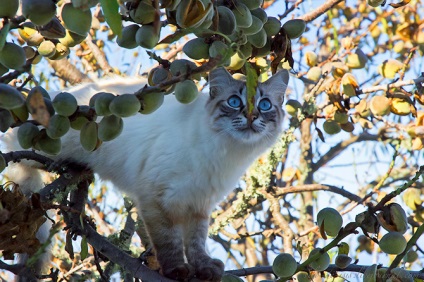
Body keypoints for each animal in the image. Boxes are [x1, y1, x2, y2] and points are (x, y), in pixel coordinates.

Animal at [1, 67, 288, 280]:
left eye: (264, 105)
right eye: (234, 102)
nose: (251, 116)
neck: (227, 153)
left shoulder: (198, 204)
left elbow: (196, 243)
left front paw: (204, 269)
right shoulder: (156, 196)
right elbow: (169, 242)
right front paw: (177, 271)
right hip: (40, 146)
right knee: (15, 152)